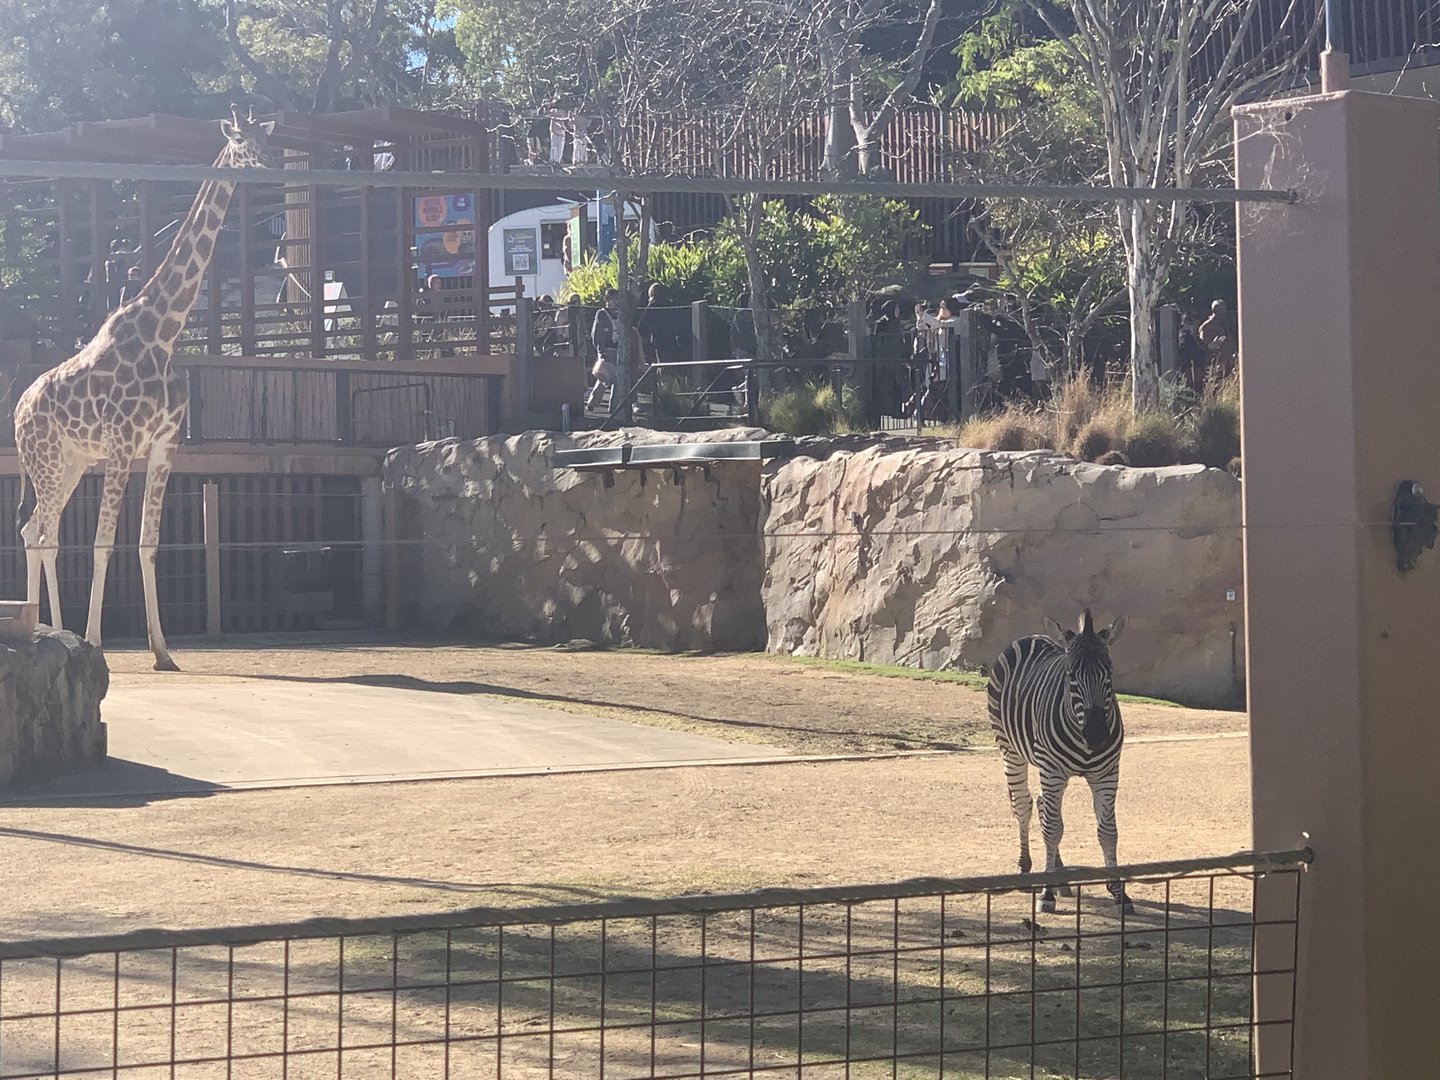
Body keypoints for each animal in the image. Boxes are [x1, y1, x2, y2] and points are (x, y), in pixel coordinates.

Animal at [14, 108, 274, 671]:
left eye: (270, 138)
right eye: (242, 142)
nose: (269, 166)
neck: (164, 331)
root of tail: (18, 410)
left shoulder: (163, 445)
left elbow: (147, 544)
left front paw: (162, 651)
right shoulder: (120, 443)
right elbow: (102, 542)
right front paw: (95, 642)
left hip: (70, 463)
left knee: (36, 531)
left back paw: (51, 628)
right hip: (46, 462)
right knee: (42, 535)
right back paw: (54, 631)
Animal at [987, 609, 1132, 914]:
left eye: (1109, 673)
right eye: (1071, 675)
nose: (1097, 735)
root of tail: (1032, 636)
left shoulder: (1107, 774)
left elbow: (1108, 832)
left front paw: (1119, 893)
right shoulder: (1052, 771)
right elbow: (1052, 831)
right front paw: (1046, 894)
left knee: (1044, 806)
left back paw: (1060, 877)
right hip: (1011, 750)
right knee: (1025, 806)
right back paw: (1026, 869)